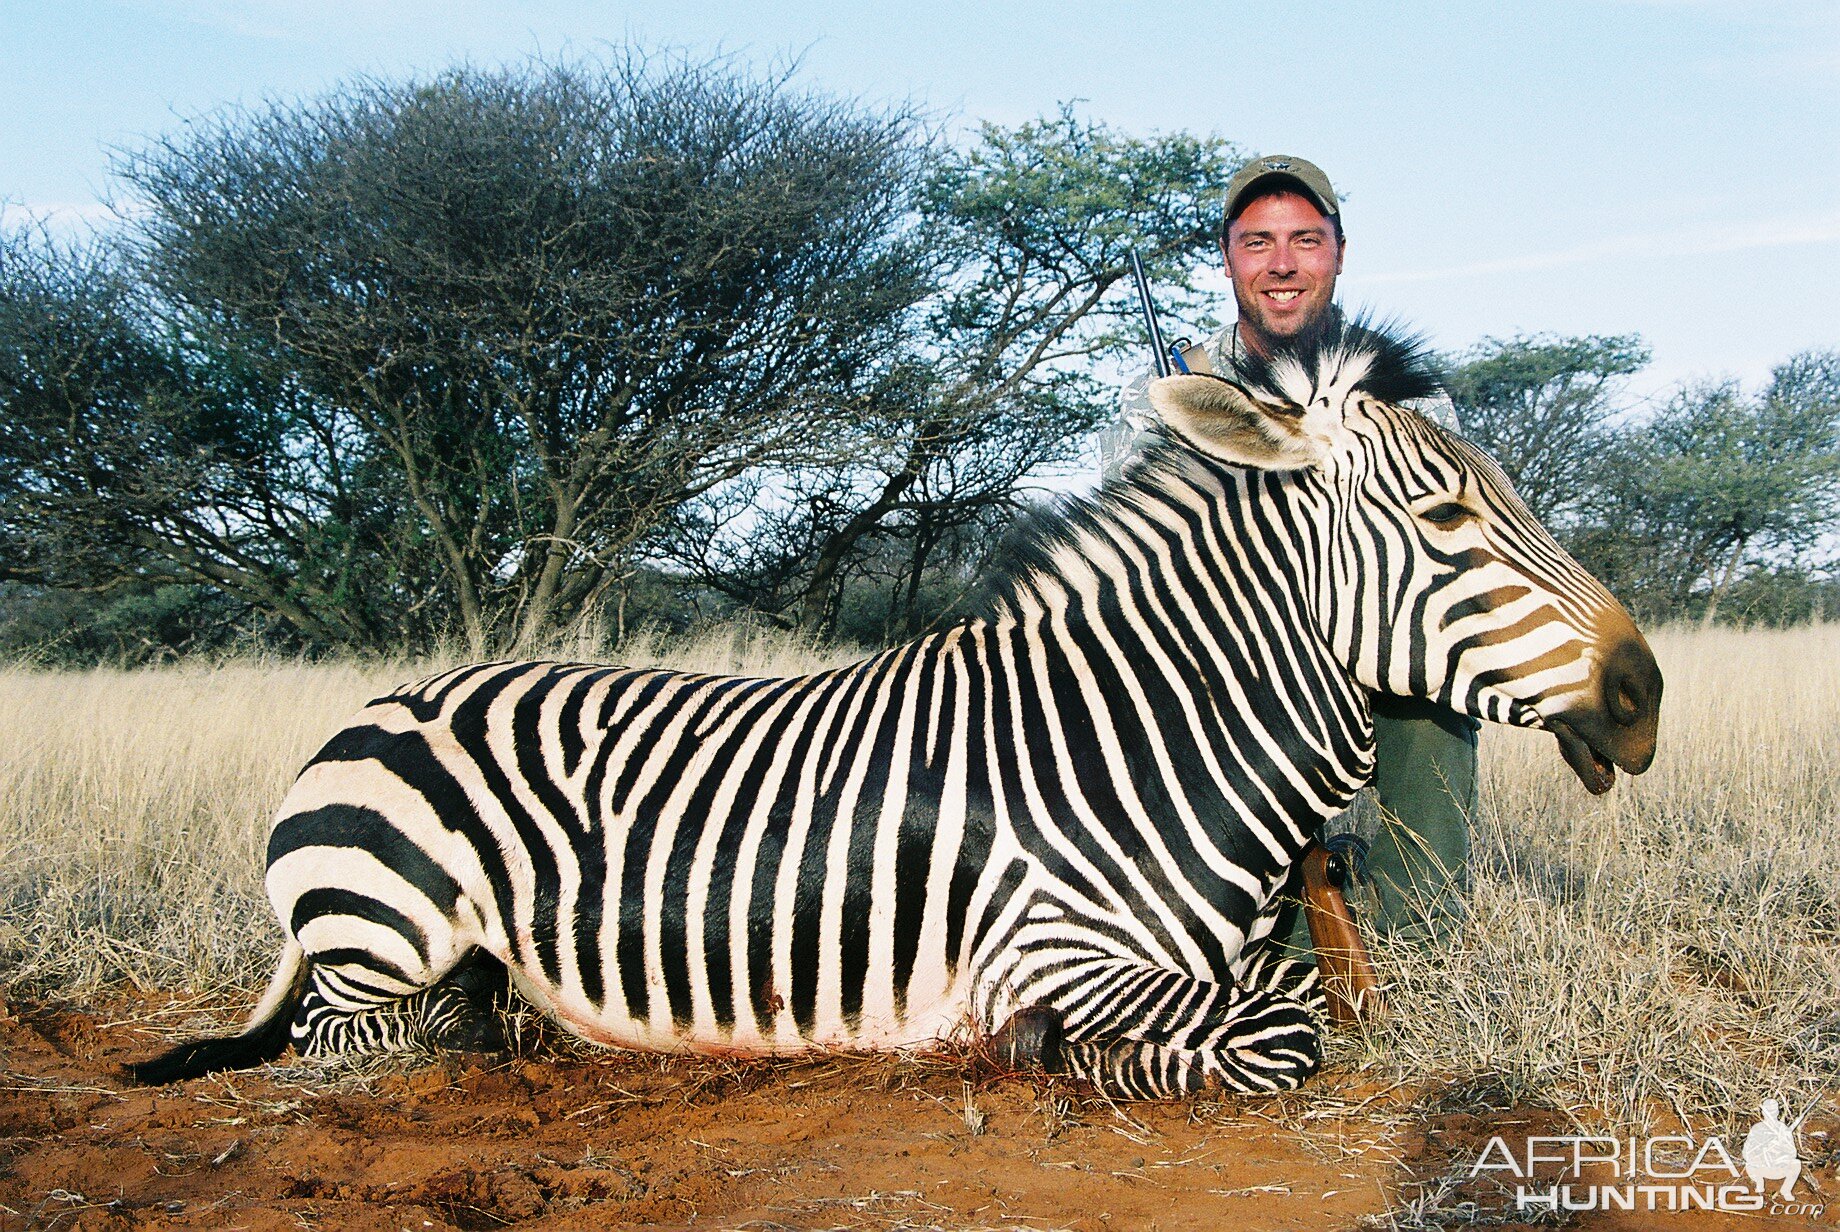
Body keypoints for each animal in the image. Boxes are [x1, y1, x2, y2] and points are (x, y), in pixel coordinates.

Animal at [122, 316, 1663, 1103]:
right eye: (1450, 517)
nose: (1644, 693)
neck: (1149, 738)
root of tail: (373, 706)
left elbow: (1290, 999)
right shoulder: (1062, 948)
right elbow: (1283, 1030)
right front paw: (1059, 1055)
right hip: (388, 929)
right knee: (363, 1034)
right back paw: (512, 1030)